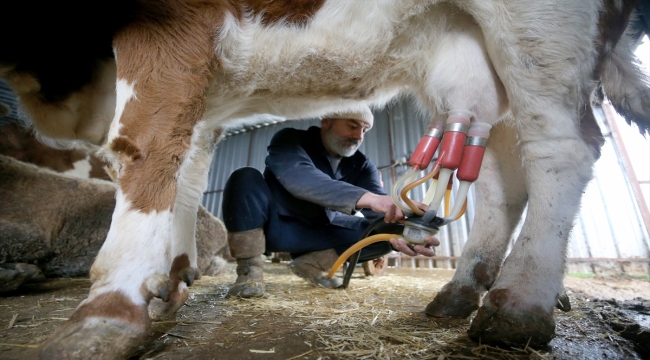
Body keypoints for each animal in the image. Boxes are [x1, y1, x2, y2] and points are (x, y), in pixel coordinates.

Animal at [1, 0, 648, 358]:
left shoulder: (173, 28)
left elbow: (147, 144)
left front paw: (108, 312)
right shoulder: (208, 100)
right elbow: (186, 170)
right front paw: (174, 282)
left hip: (543, 30)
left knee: (563, 146)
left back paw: (519, 306)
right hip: (475, 68)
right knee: (501, 181)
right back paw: (460, 291)